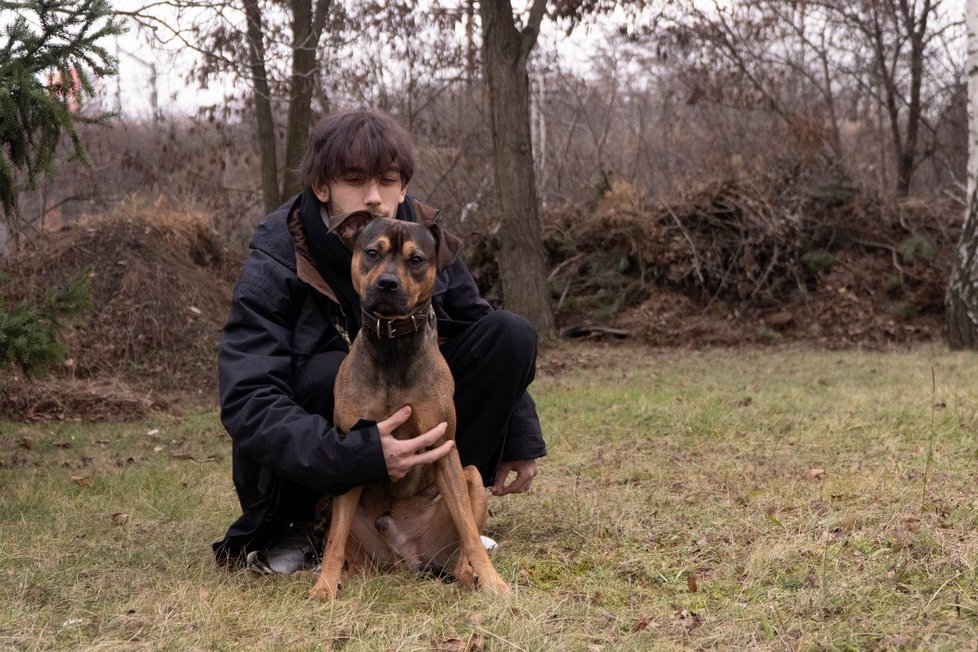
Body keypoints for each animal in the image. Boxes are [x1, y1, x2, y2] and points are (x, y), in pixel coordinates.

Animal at [310, 214, 510, 600]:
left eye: (416, 259)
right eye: (372, 252)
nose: (387, 284)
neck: (392, 346)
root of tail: (405, 556)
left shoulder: (443, 447)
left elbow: (468, 529)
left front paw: (494, 581)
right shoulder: (350, 452)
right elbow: (335, 540)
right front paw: (323, 586)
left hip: (471, 477)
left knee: (463, 547)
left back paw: (471, 575)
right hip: (331, 498)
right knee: (346, 547)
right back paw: (346, 576)